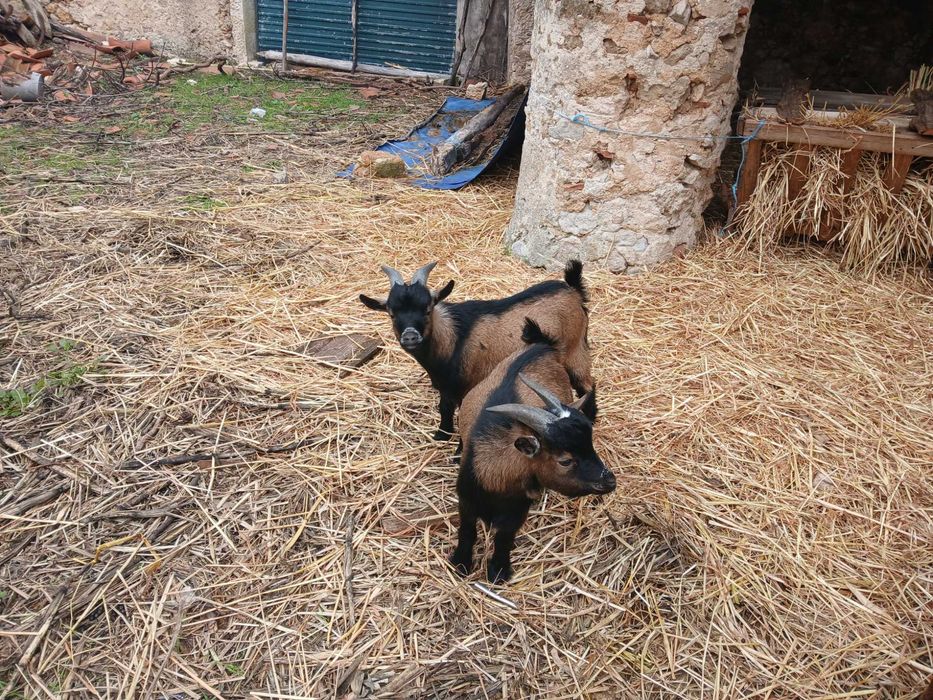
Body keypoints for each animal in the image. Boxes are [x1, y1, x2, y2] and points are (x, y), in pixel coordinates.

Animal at [359, 261, 593, 440]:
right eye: (391, 313)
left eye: (427, 309)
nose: (410, 336)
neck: (452, 338)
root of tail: (573, 290)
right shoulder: (446, 387)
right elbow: (444, 408)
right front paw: (442, 434)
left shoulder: (467, 386)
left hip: (575, 349)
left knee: (586, 385)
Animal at [450, 320, 614, 583]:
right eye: (565, 461)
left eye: (590, 445)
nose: (609, 480)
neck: (495, 473)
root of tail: (541, 346)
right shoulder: (466, 500)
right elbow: (467, 530)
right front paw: (461, 562)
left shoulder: (516, 510)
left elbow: (503, 538)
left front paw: (499, 570)